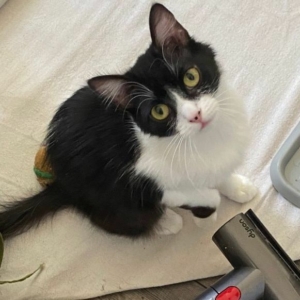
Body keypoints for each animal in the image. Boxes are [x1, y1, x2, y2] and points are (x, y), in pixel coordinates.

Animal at [0, 3, 258, 239]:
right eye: (159, 111)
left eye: (191, 77)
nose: (196, 115)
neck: (204, 139)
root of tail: (62, 184)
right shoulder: (136, 180)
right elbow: (182, 193)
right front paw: (206, 212)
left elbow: (218, 171)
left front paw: (236, 186)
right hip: (97, 192)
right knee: (115, 219)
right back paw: (166, 222)